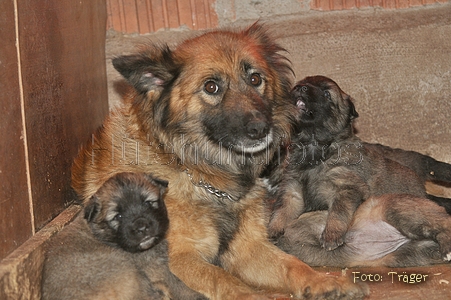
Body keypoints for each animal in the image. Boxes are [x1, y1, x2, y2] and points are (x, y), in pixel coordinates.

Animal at [69, 24, 368, 298]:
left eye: (255, 79)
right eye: (211, 87)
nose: (261, 129)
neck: (200, 171)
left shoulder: (248, 247)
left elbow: (292, 264)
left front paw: (323, 281)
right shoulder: (181, 257)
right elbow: (224, 280)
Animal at [266, 75, 451, 251]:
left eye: (326, 94)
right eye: (303, 82)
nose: (300, 87)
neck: (313, 148)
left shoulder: (347, 188)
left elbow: (338, 212)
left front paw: (331, 235)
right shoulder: (292, 189)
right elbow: (282, 210)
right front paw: (272, 230)